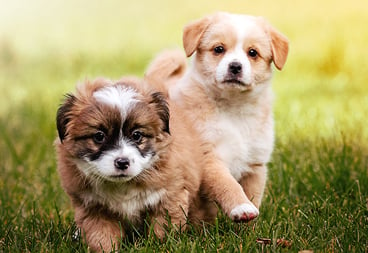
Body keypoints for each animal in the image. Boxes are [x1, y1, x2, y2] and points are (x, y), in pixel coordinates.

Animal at [55, 78, 206, 252]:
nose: (122, 162)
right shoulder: (94, 209)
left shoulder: (169, 197)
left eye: (137, 135)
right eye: (99, 136)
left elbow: (162, 230)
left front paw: (160, 245)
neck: (123, 186)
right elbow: (101, 237)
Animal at [145, 11, 288, 221]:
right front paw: (241, 207)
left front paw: (251, 226)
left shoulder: (255, 165)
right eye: (219, 49)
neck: (234, 110)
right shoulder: (209, 158)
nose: (235, 66)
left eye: (252, 53)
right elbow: (227, 184)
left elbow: (253, 196)